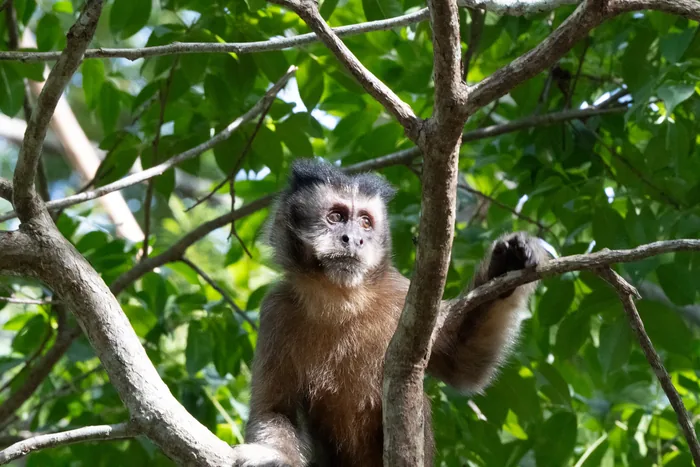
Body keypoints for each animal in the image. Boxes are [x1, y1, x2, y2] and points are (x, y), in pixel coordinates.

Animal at [231, 158, 548, 467]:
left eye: (365, 222)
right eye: (336, 217)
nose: (353, 239)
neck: (342, 300)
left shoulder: (401, 294)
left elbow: (464, 364)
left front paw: (508, 263)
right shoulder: (276, 310)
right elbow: (274, 410)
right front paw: (275, 457)